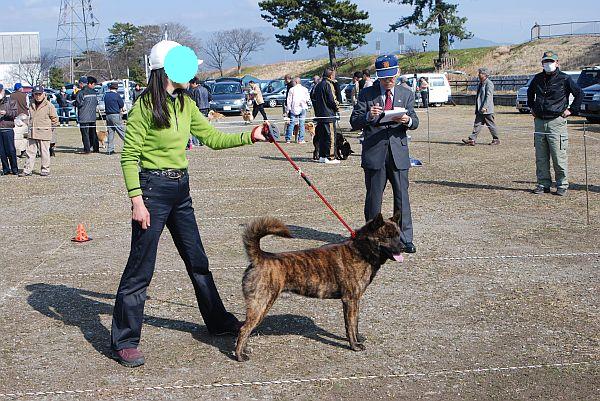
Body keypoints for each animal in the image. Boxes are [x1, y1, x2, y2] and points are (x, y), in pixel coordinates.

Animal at [234, 214, 404, 360]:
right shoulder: (349, 300)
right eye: (388, 236)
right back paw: (239, 355)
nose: (405, 247)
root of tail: (261, 257)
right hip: (261, 305)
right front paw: (354, 345)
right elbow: (350, 325)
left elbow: (355, 322)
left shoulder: (355, 301)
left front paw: (357, 338)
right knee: (244, 329)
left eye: (398, 235)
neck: (361, 250)